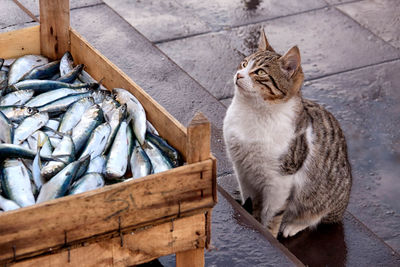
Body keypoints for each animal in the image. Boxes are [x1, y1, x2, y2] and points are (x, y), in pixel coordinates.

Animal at [223, 29, 352, 239]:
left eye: (260, 72)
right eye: (244, 63)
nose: (238, 74)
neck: (253, 112)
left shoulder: (280, 180)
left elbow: (272, 215)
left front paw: (267, 234)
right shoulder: (242, 169)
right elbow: (251, 200)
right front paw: (251, 216)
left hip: (323, 197)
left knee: (316, 215)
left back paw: (293, 225)